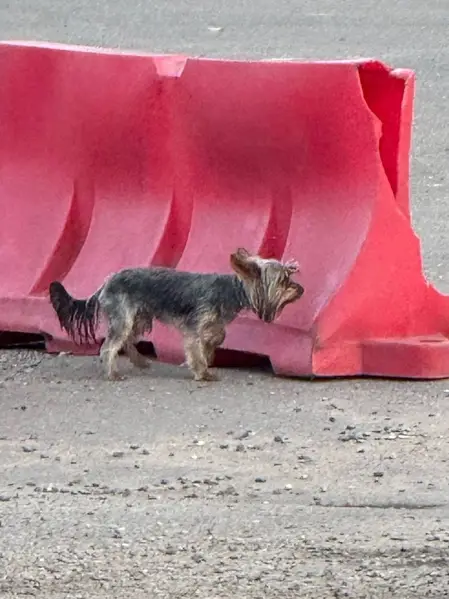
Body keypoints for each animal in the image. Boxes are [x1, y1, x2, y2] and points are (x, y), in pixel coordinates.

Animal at [49, 248, 304, 382]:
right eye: (283, 281)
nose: (301, 289)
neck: (230, 290)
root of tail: (105, 283)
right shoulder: (193, 327)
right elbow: (195, 348)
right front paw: (203, 372)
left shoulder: (211, 323)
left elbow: (216, 337)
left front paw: (208, 356)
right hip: (124, 317)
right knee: (110, 346)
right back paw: (112, 373)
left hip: (139, 317)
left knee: (128, 340)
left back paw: (140, 361)